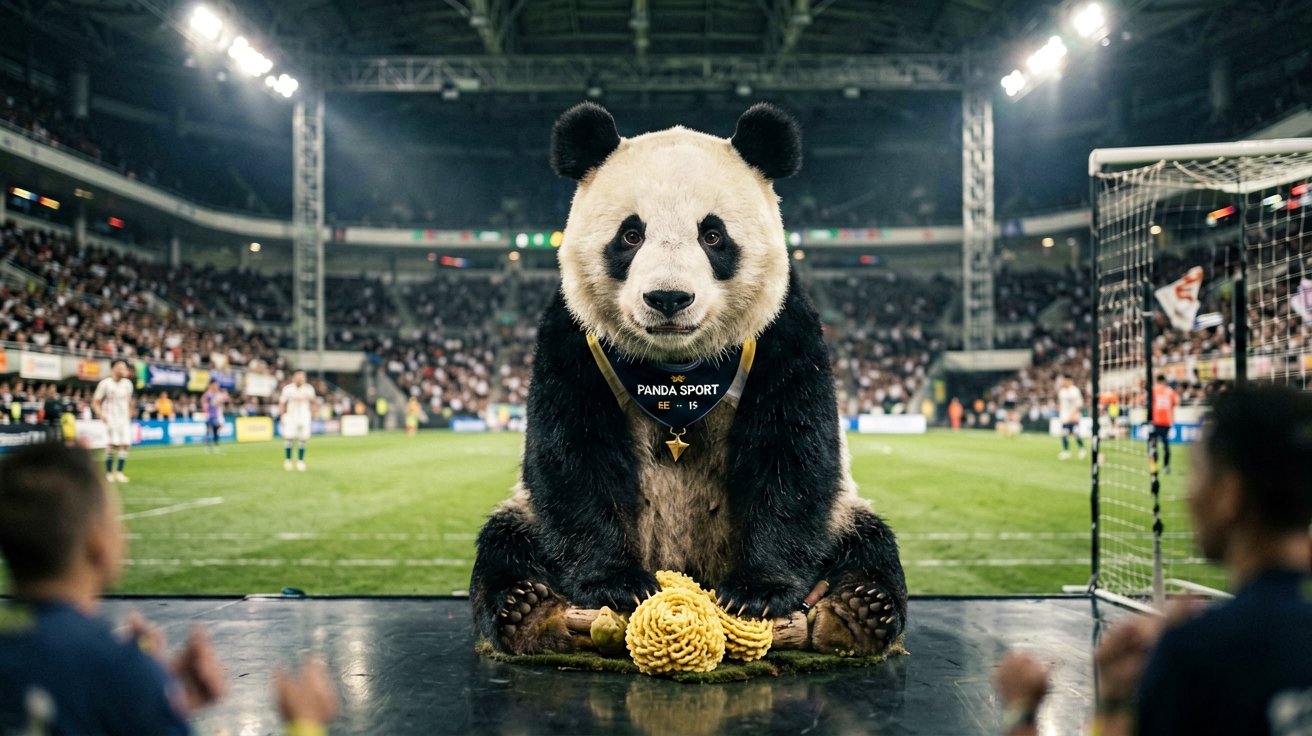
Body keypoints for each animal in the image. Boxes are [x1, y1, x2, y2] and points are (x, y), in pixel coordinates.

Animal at [470, 101, 907, 659]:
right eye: (630, 235)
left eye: (713, 235)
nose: (668, 298)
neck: (677, 373)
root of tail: (689, 571)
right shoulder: (574, 339)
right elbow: (574, 455)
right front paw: (615, 583)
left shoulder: (782, 332)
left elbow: (791, 452)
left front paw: (760, 591)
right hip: (526, 515)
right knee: (506, 542)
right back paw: (525, 610)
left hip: (840, 515)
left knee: (867, 543)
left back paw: (858, 610)